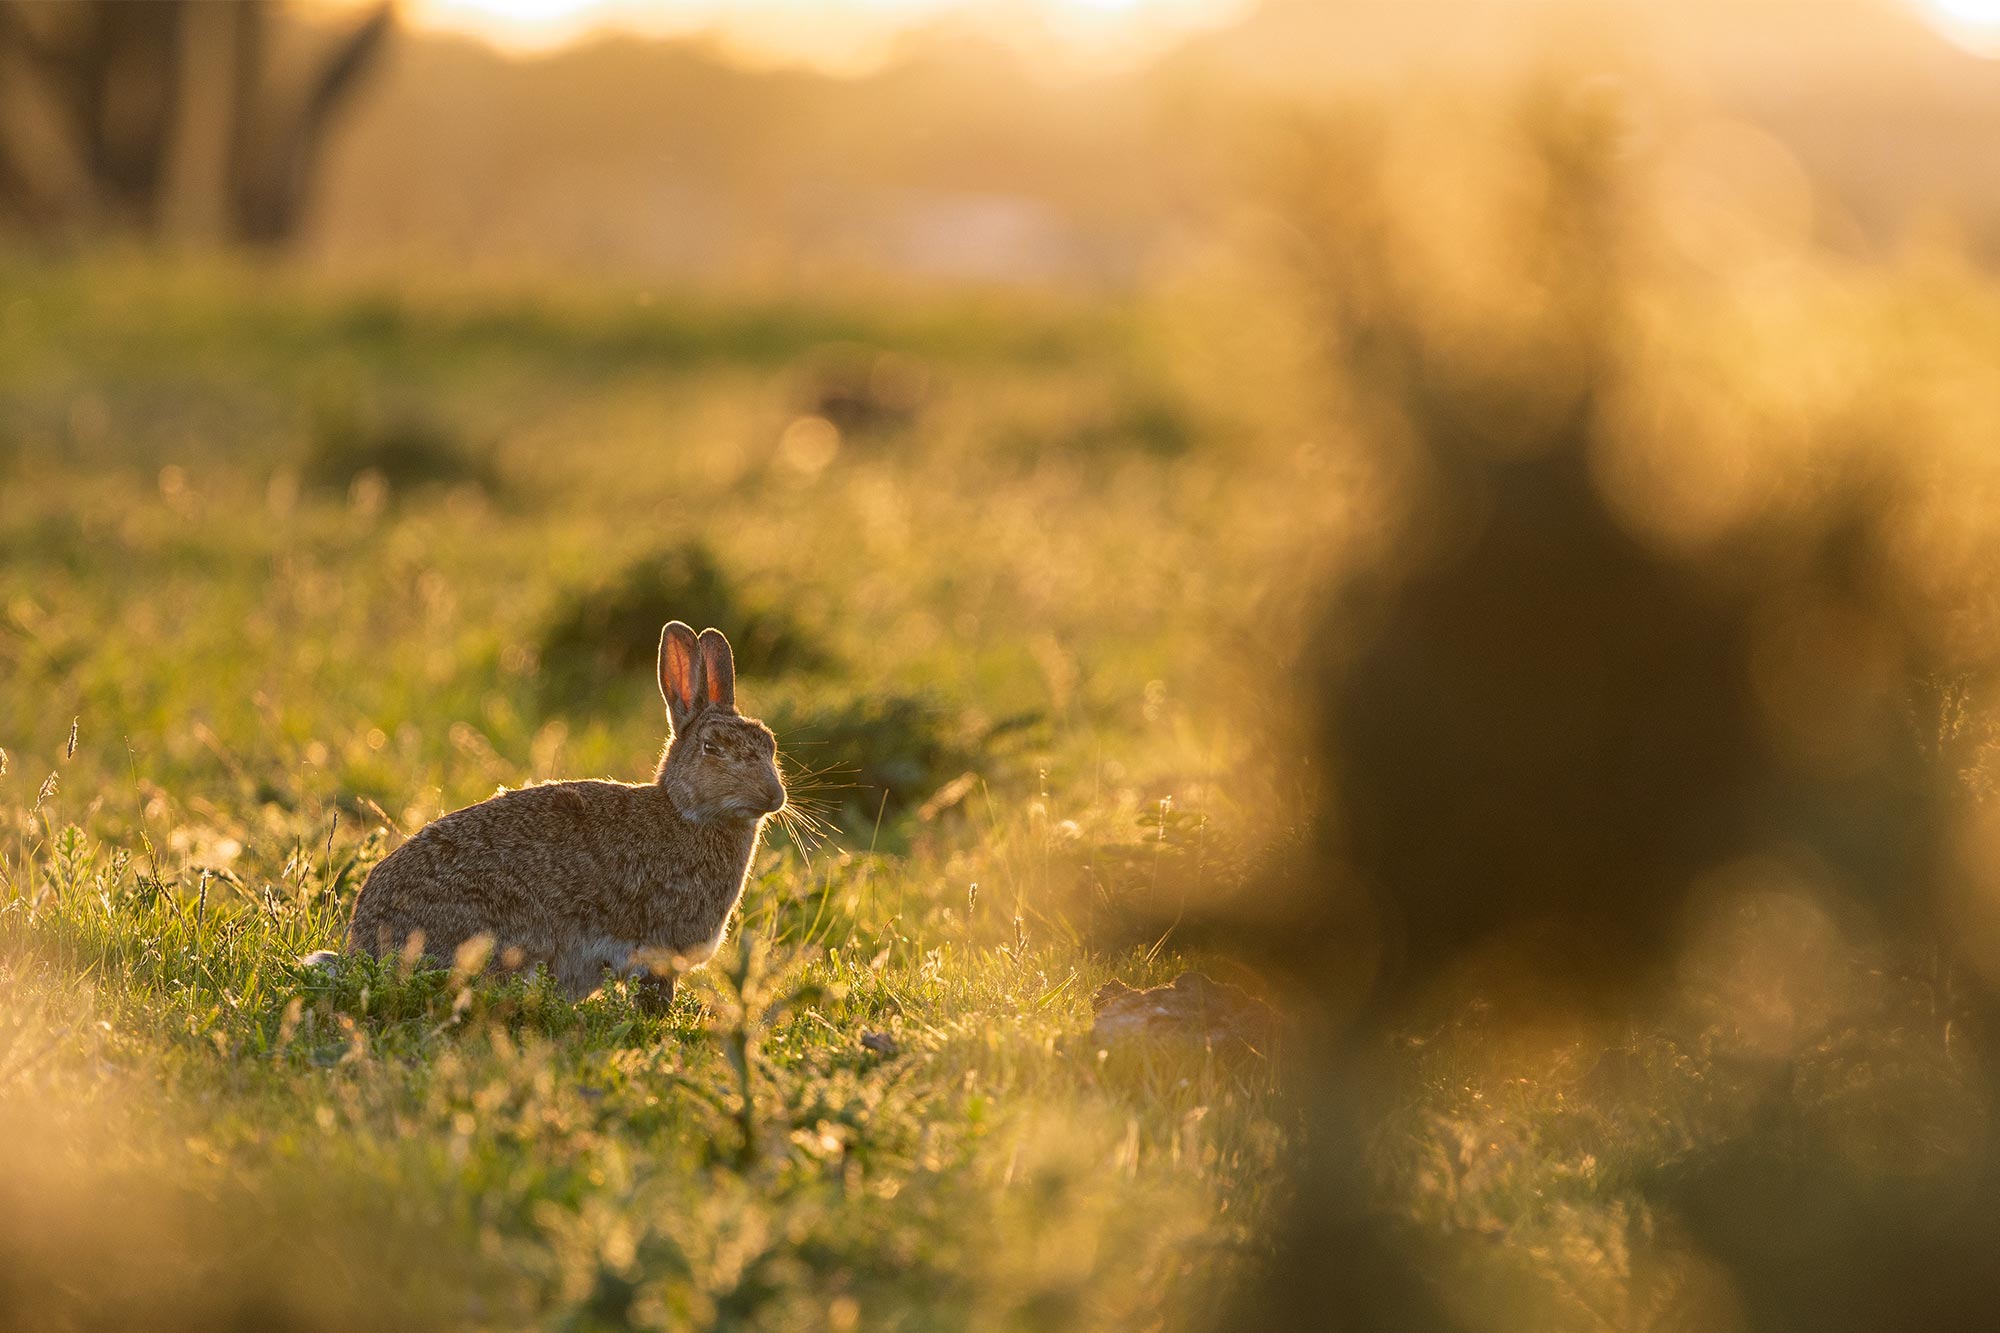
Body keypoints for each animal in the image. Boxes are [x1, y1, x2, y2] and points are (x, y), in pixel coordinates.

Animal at [305, 621, 786, 1009]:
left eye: (770, 743)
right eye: (712, 747)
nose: (773, 796)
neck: (685, 813)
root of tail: (366, 947)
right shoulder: (655, 952)